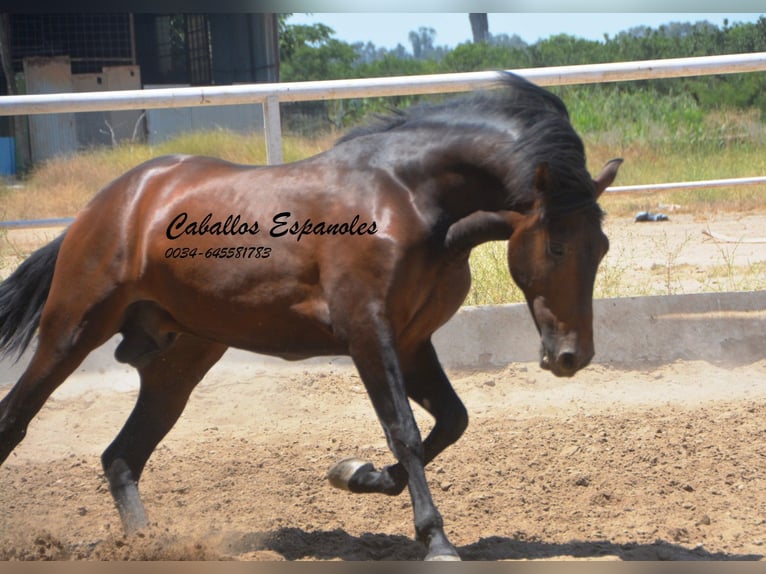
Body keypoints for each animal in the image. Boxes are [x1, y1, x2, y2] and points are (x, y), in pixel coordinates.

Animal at [0, 73, 624, 564]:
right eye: (559, 247)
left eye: (603, 247)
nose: (572, 356)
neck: (407, 199)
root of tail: (109, 202)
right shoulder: (369, 334)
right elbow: (405, 431)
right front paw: (437, 541)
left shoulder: (413, 339)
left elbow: (450, 421)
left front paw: (355, 474)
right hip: (72, 330)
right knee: (18, 420)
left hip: (181, 358)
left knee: (122, 455)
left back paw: (150, 546)